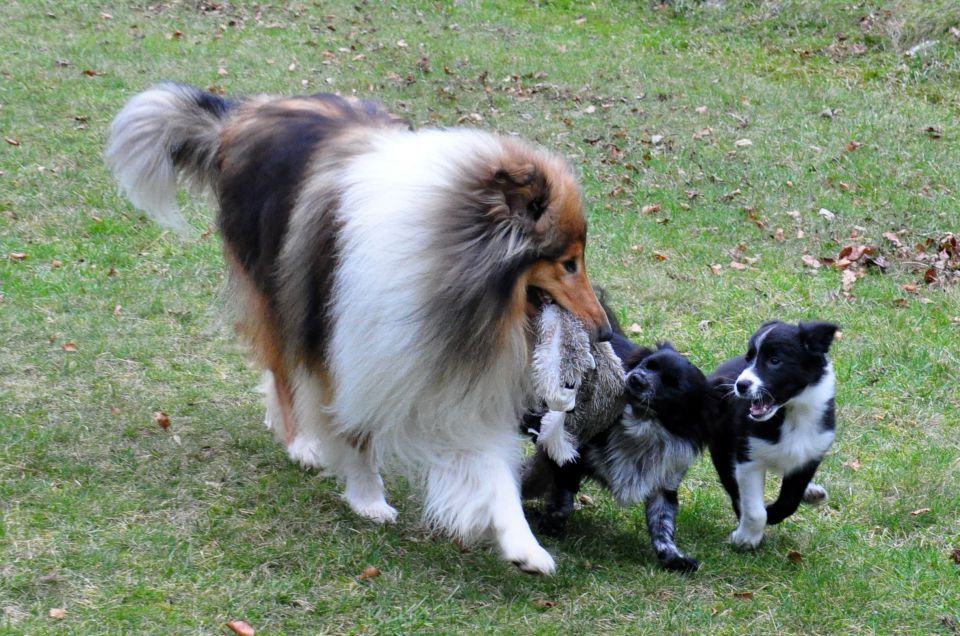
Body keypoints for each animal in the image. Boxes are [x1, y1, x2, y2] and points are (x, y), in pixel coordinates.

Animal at [105, 82, 612, 572]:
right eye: (568, 263)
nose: (606, 332)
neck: (441, 265)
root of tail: (244, 113)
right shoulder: (350, 353)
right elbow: (357, 431)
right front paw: (368, 499)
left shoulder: (443, 373)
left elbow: (489, 466)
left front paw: (523, 547)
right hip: (279, 290)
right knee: (281, 367)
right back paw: (301, 442)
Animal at [520, 322, 716, 572]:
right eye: (647, 365)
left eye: (671, 384)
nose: (636, 379)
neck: (643, 429)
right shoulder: (569, 452)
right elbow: (564, 493)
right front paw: (552, 523)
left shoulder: (665, 483)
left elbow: (662, 525)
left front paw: (673, 557)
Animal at [704, 320, 840, 548]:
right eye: (749, 358)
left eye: (775, 361)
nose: (740, 385)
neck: (791, 412)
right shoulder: (747, 456)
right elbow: (754, 510)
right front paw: (746, 538)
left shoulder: (809, 455)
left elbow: (789, 501)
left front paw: (773, 514)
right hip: (722, 447)